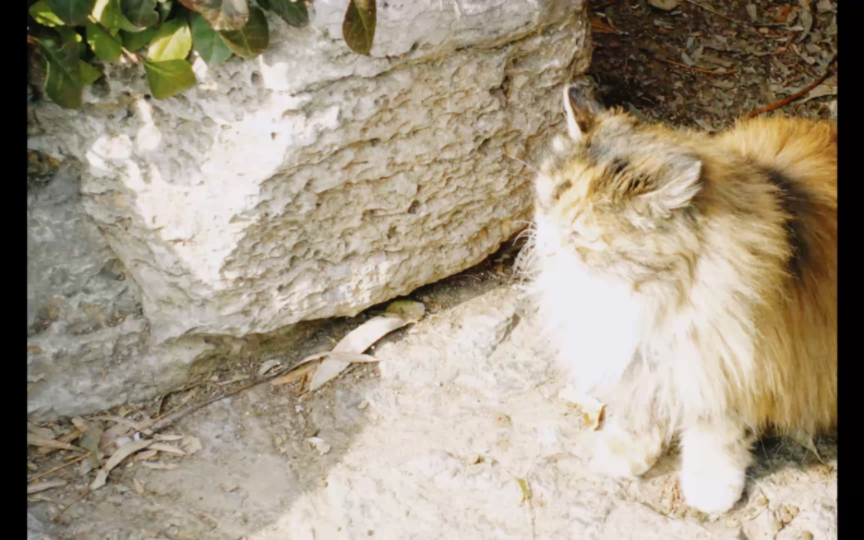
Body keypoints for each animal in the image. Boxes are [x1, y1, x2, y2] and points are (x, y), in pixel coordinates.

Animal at [524, 80, 832, 516]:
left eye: (583, 235)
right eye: (549, 201)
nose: (547, 245)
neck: (640, 291)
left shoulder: (726, 363)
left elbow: (713, 435)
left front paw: (711, 490)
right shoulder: (646, 360)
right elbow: (639, 410)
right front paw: (626, 453)